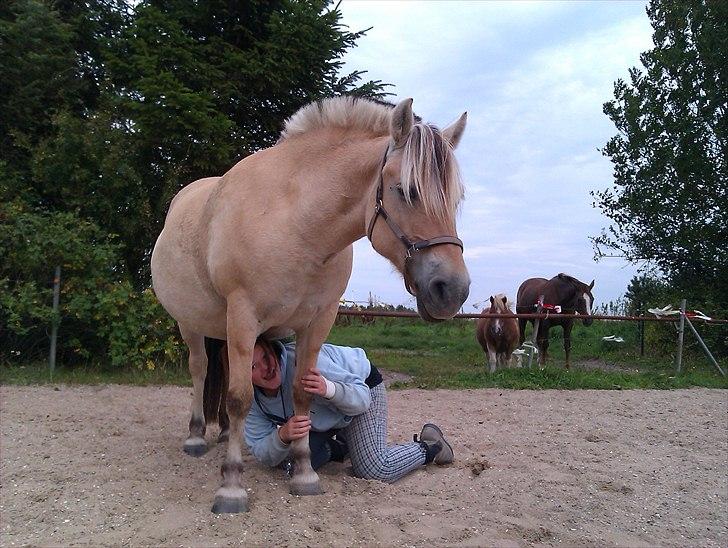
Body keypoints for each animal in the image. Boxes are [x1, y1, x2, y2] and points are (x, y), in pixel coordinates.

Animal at [152, 96, 472, 512]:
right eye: (406, 191)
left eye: (455, 199)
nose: (452, 290)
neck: (296, 225)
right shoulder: (243, 317)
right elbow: (240, 398)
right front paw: (231, 486)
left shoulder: (317, 322)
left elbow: (303, 393)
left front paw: (304, 473)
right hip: (191, 324)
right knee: (201, 370)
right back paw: (195, 436)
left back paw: (222, 433)